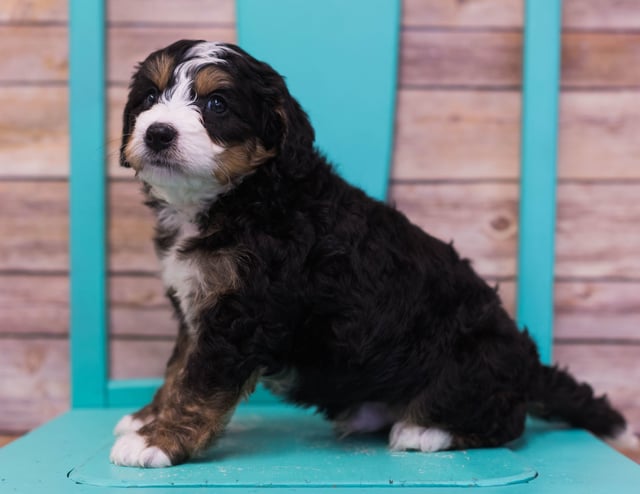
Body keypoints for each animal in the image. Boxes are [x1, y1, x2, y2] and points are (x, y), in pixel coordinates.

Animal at [110, 39, 636, 466]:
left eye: (216, 103)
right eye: (150, 98)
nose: (158, 133)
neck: (238, 196)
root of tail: (529, 366)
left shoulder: (242, 317)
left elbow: (199, 384)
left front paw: (159, 440)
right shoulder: (199, 307)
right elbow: (178, 366)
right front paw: (145, 418)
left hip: (476, 358)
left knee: (505, 420)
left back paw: (426, 430)